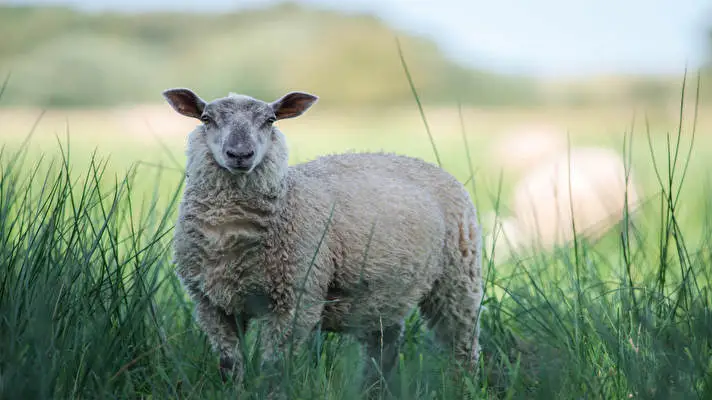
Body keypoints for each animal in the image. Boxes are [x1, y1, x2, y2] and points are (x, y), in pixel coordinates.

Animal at [162, 87, 484, 390]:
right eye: (206, 119)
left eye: (270, 120)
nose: (240, 154)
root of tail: (415, 159)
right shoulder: (212, 305)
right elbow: (230, 366)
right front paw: (236, 391)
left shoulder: (294, 302)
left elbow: (272, 369)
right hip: (383, 295)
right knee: (384, 349)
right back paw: (374, 389)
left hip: (458, 279)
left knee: (462, 342)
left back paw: (462, 384)